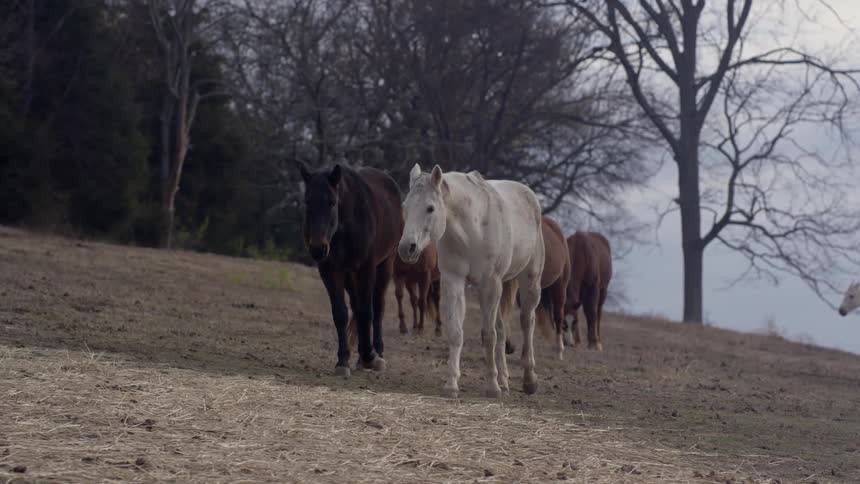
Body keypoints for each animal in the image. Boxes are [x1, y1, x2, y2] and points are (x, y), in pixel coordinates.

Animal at [297, 162, 403, 377]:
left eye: (331, 202)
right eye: (308, 202)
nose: (318, 248)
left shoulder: (366, 268)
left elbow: (366, 311)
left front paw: (370, 355)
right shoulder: (330, 270)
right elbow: (341, 313)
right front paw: (343, 360)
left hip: (384, 266)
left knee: (377, 307)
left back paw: (377, 353)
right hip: (349, 277)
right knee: (355, 306)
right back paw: (361, 358)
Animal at [398, 164, 545, 399]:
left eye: (430, 208)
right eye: (405, 206)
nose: (406, 248)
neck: (472, 230)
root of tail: (529, 196)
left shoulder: (490, 284)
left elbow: (489, 335)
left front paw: (492, 387)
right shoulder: (453, 281)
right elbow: (456, 332)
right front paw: (451, 385)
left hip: (529, 281)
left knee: (526, 322)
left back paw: (529, 380)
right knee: (502, 328)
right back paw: (505, 381)